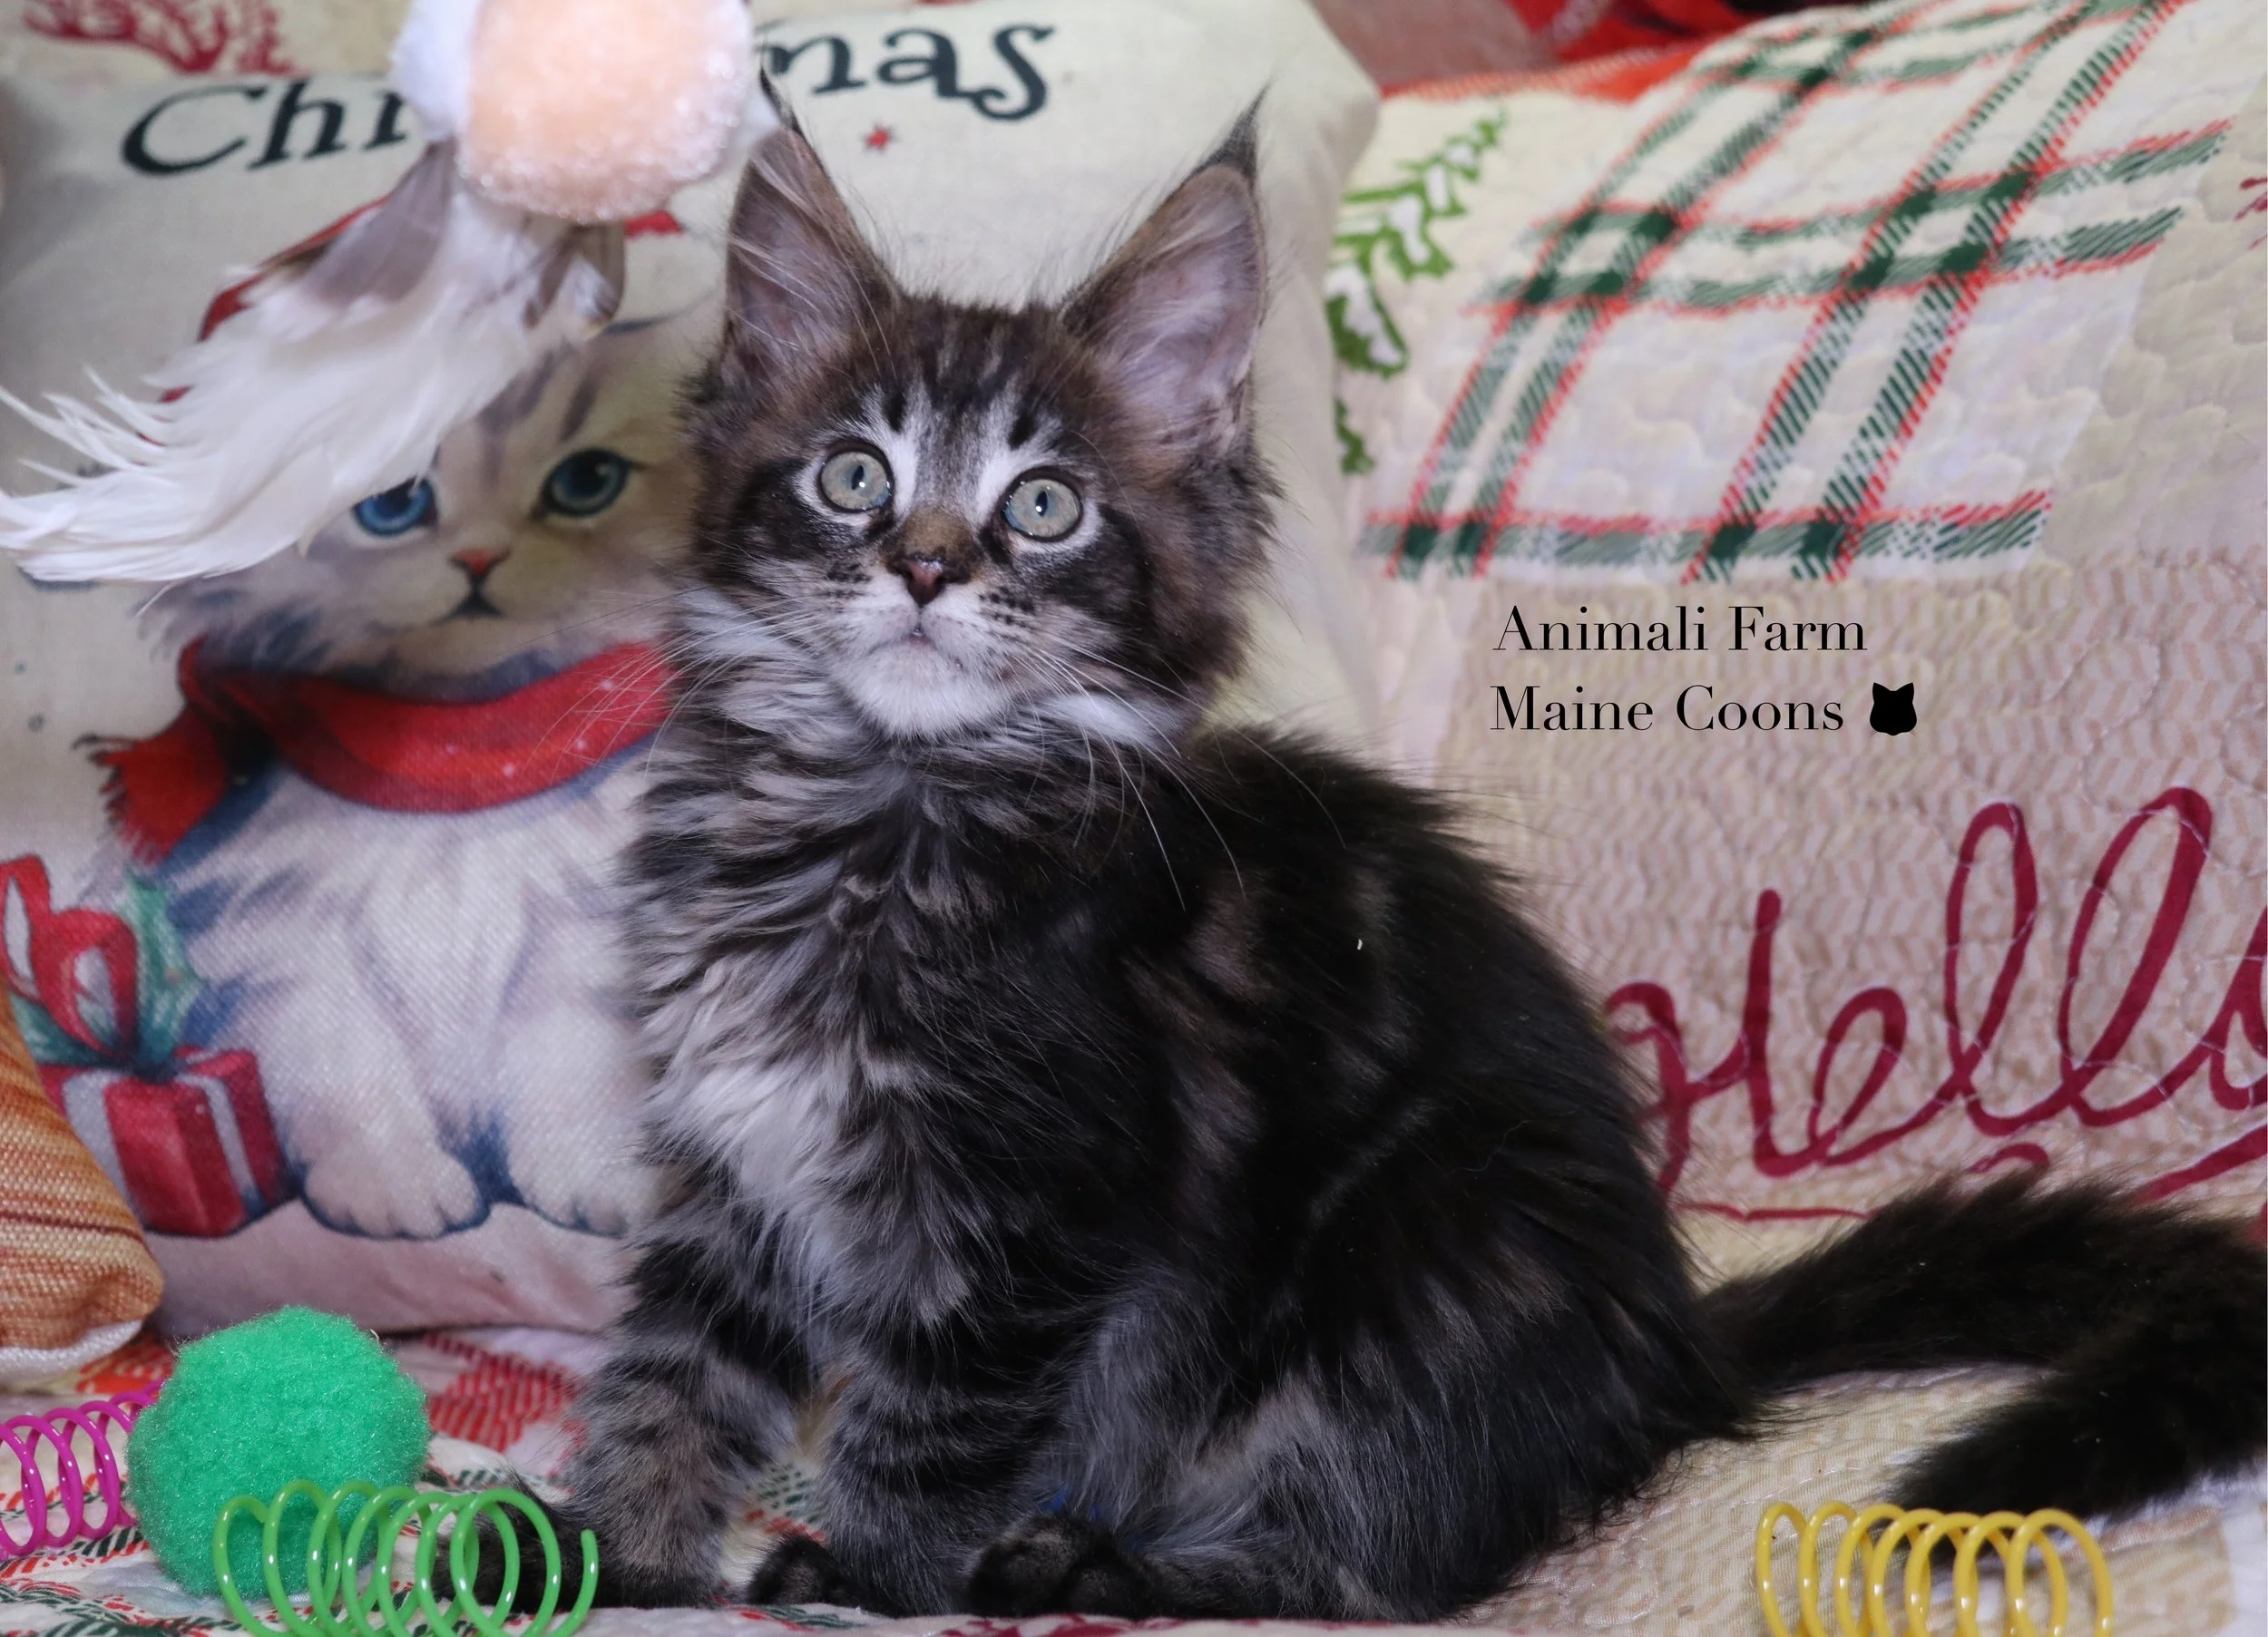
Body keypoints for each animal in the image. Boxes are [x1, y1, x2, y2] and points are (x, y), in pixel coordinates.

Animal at [106, 319, 697, 1240]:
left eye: (586, 483)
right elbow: (347, 1073)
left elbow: (569, 1072)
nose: (481, 555)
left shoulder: (580, 941)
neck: (454, 755)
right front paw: (388, 1182)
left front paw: (597, 1175)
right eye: (391, 501)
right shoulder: (288, 948)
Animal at [479, 116, 2264, 1618]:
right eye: (855, 475)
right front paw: (618, 1555)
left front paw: (863, 1571)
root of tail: (1671, 1346)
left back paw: (1093, 1562)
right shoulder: (735, 1161)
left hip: (1421, 1254)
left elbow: (934, 1420)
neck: (871, 810)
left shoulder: (1042, 1207)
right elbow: (675, 1379)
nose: (924, 568)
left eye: (1045, 507)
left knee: (1363, 1566)